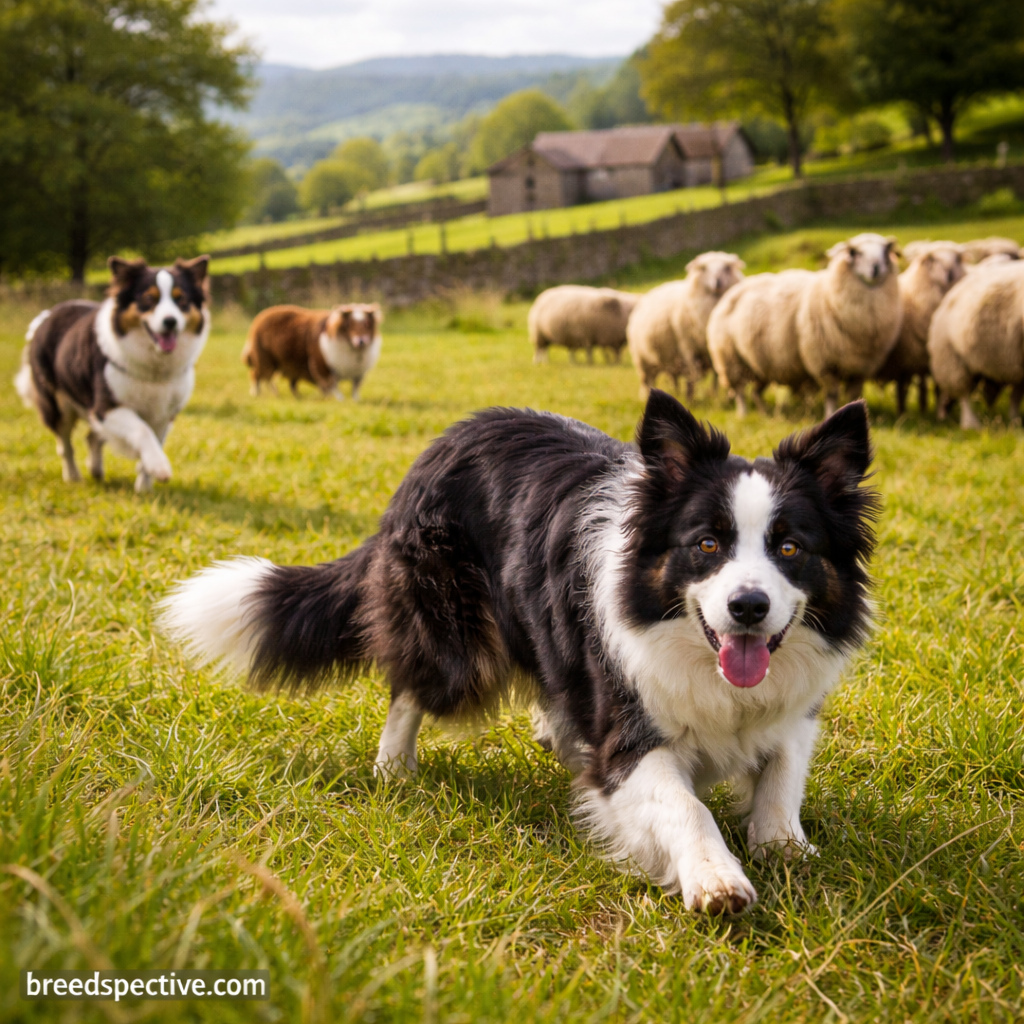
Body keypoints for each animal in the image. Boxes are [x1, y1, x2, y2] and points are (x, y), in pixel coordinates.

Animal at [626, 252, 744, 401]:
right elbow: (692, 376)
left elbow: (716, 376)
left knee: (672, 377)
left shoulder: (715, 350)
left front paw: (716, 395)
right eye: (703, 268)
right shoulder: (686, 346)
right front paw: (691, 398)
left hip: (668, 359)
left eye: (727, 268)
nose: (717, 281)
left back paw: (675, 392)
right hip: (642, 359)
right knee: (646, 380)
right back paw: (645, 396)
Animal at [706, 269, 815, 416]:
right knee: (740, 390)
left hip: (760, 367)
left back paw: (765, 412)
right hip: (731, 360)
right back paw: (743, 413)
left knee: (754, 393)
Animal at [796, 233, 903, 416]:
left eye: (885, 251)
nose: (875, 267)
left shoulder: (862, 367)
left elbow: (853, 394)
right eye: (854, 252)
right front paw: (830, 414)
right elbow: (832, 394)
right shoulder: (825, 364)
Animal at [875, 241, 966, 415]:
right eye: (932, 259)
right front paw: (903, 411)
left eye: (957, 259)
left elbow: (936, 388)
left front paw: (937, 412)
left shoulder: (933, 357)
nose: (950, 273)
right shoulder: (904, 358)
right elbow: (902, 387)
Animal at [928, 260, 1024, 429]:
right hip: (952, 359)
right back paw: (971, 424)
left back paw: (1015, 420)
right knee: (964, 394)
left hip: (1011, 360)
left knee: (1016, 394)